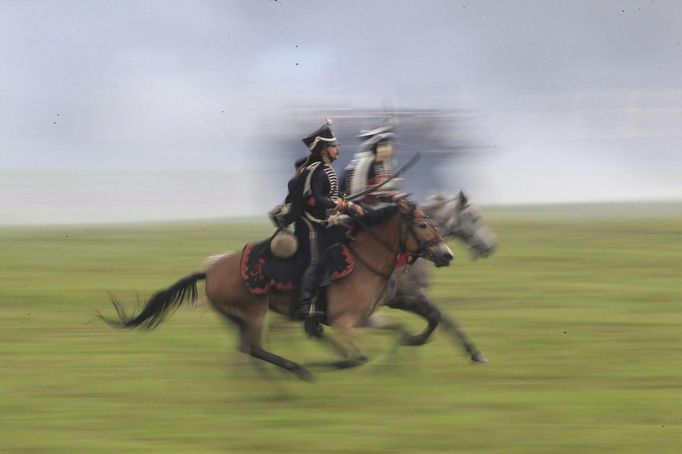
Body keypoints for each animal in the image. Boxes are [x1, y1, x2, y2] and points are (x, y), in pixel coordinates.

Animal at [101, 199, 448, 380]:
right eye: (422, 224)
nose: (446, 254)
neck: (364, 259)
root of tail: (209, 270)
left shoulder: (363, 318)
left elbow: (400, 329)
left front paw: (413, 341)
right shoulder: (344, 322)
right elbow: (356, 358)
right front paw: (320, 365)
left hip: (238, 318)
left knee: (246, 349)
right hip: (254, 312)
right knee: (255, 348)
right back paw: (296, 371)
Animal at [370, 190, 496, 364]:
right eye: (473, 217)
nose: (490, 246)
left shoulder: (406, 299)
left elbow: (445, 319)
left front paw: (476, 353)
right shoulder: (408, 297)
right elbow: (436, 316)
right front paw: (412, 340)